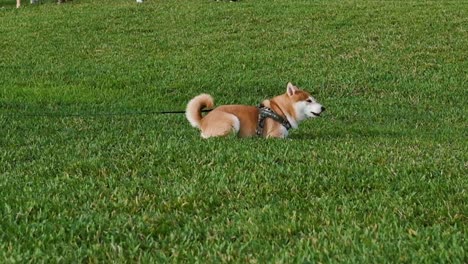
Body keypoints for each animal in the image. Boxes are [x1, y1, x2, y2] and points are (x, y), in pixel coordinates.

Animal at [185, 83, 324, 139]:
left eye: (314, 99)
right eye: (309, 101)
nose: (323, 108)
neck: (281, 111)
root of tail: (203, 120)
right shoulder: (273, 136)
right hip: (233, 120)